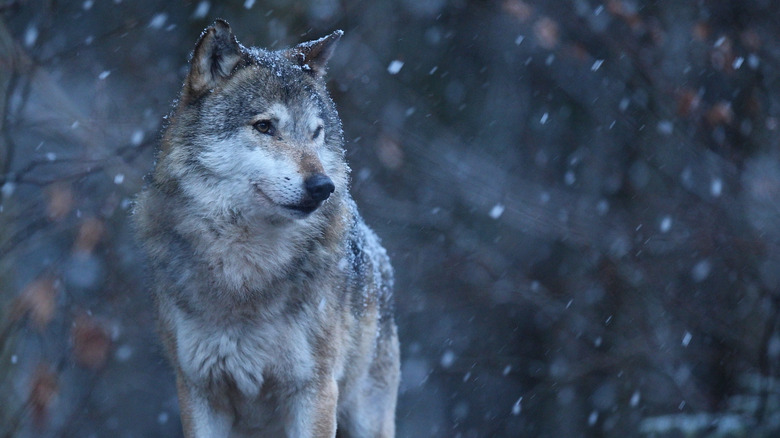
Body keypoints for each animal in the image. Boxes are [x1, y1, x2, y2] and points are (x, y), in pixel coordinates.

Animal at [132, 20, 400, 438]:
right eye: (264, 126)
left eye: (316, 132)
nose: (323, 187)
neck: (246, 270)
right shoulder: (198, 390)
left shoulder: (314, 391)